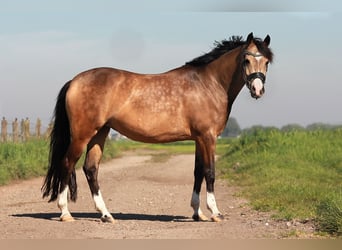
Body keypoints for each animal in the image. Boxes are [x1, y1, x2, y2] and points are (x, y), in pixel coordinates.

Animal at [41, 32, 274, 223]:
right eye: (246, 60)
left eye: (267, 62)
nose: (257, 89)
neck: (209, 84)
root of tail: (74, 81)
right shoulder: (208, 137)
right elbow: (210, 172)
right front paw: (215, 213)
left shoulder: (199, 139)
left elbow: (197, 172)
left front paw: (197, 213)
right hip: (82, 135)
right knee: (67, 164)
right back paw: (65, 213)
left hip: (100, 133)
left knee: (90, 169)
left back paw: (106, 214)